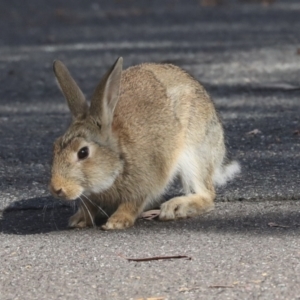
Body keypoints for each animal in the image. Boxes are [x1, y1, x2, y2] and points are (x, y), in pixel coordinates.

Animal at [49, 56, 241, 230]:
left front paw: (117, 222)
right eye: (55, 147)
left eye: (83, 152)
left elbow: (132, 203)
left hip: (194, 153)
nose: (57, 189)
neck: (119, 160)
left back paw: (175, 207)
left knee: (206, 195)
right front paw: (79, 220)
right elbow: (88, 206)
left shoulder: (145, 181)